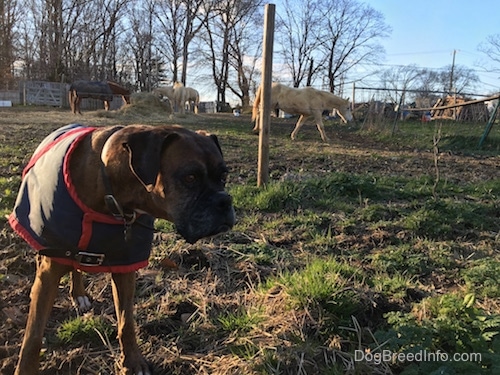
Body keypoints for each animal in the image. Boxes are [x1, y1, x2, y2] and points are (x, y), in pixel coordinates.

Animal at [9, 122, 236, 374]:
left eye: (224, 176)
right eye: (190, 177)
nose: (225, 201)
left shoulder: (125, 268)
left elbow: (126, 323)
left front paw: (133, 362)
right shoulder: (49, 271)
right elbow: (33, 336)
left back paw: (79, 294)